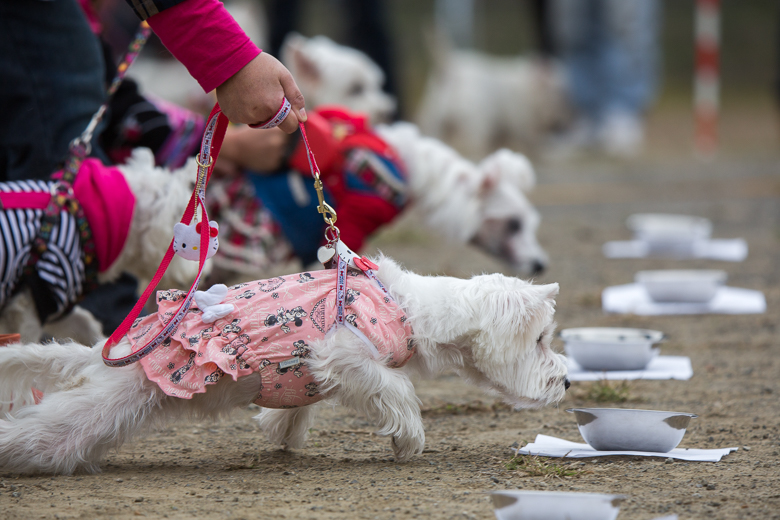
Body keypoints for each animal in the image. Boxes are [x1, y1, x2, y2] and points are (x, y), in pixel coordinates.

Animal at [0, 256, 568, 476]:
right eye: (541, 339)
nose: (565, 379)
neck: (412, 309)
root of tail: (109, 353)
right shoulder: (343, 348)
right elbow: (397, 390)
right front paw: (409, 438)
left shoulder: (315, 370)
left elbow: (297, 407)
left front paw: (282, 431)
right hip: (93, 411)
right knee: (36, 434)